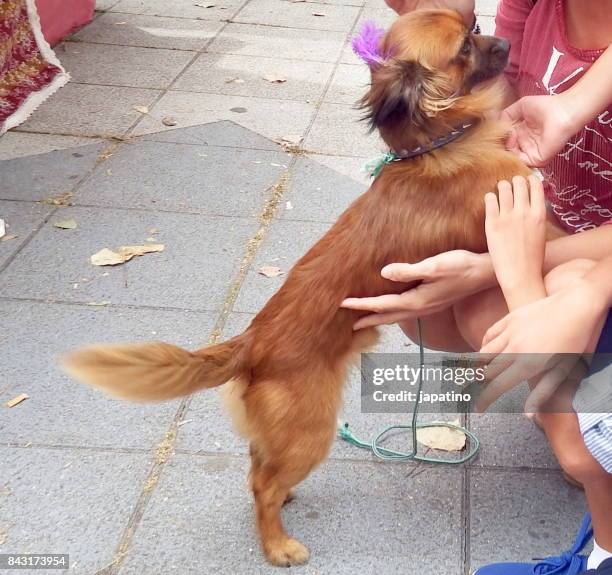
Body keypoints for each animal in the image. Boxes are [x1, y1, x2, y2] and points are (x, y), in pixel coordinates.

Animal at [63, 9, 532, 568]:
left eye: (475, 22)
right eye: (465, 45)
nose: (507, 42)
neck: (436, 148)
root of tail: (251, 345)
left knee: (257, 468)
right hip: (311, 432)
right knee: (261, 486)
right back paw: (278, 545)